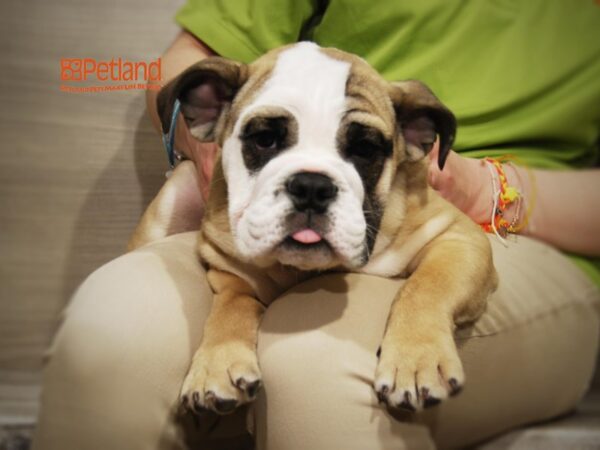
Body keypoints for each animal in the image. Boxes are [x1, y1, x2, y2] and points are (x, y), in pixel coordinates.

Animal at [131, 42, 496, 414]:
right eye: (264, 140)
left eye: (365, 149)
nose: (311, 186)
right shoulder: (229, 269)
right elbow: (230, 309)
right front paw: (216, 364)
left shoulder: (456, 237)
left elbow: (425, 288)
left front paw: (414, 359)